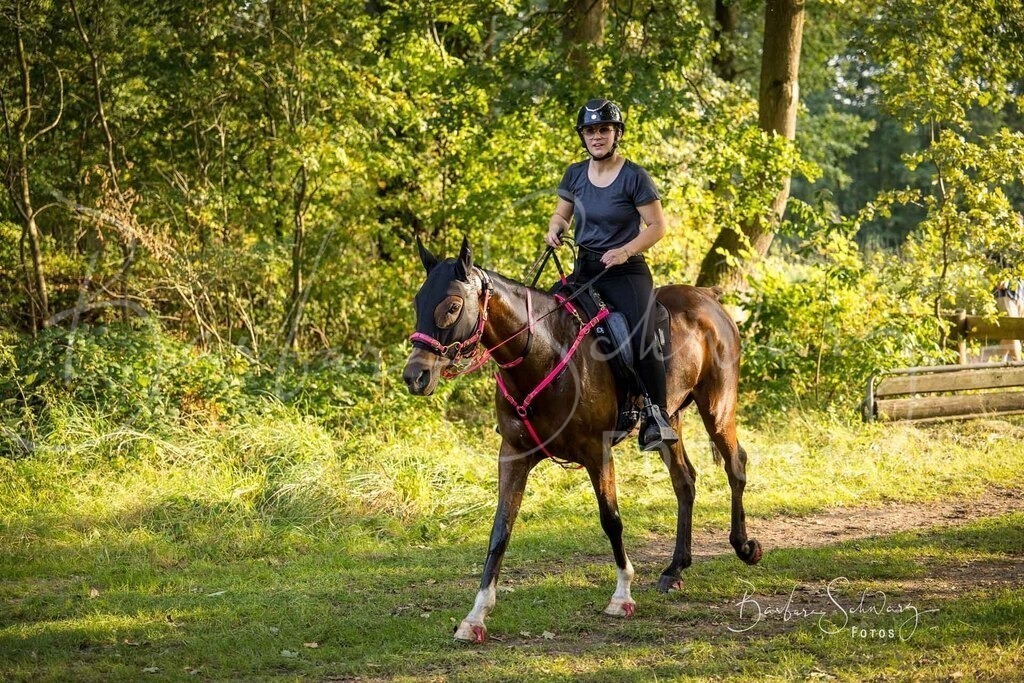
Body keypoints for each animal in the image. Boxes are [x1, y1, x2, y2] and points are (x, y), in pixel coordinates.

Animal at [402, 237, 762, 643]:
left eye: (452, 306)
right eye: (418, 301)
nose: (415, 376)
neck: (542, 352)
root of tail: (708, 297)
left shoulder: (596, 451)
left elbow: (611, 520)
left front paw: (622, 596)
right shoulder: (513, 455)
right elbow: (500, 531)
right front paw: (475, 617)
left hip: (717, 407)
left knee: (736, 466)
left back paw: (745, 546)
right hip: (670, 420)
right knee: (685, 481)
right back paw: (674, 569)